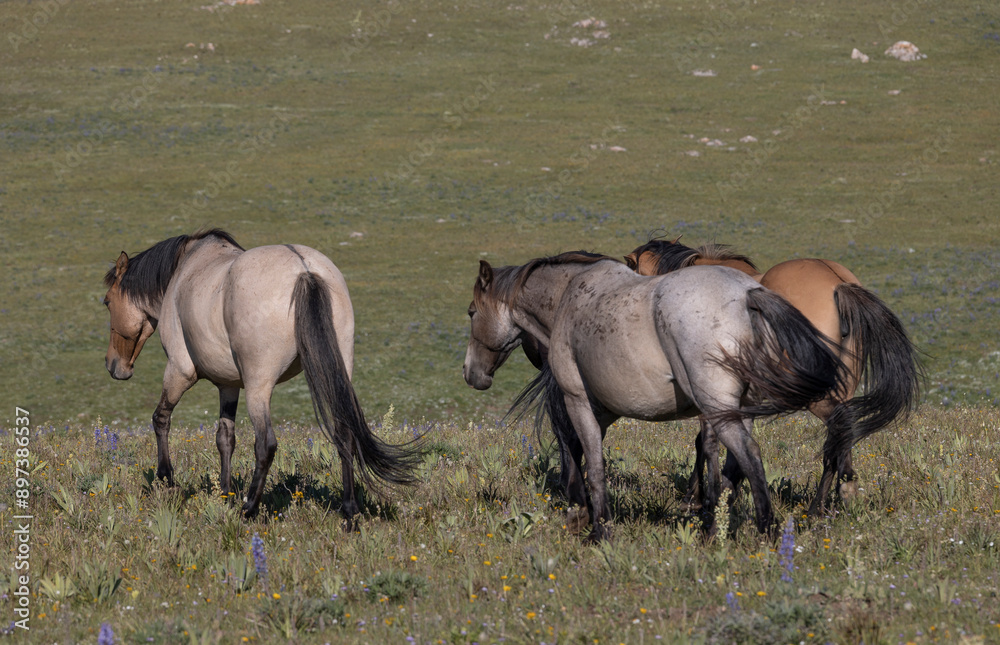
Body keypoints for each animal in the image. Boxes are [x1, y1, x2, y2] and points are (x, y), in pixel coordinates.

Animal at [104, 229, 422, 524]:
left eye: (106, 302)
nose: (112, 365)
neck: (186, 268)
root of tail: (304, 269)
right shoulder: (229, 386)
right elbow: (225, 438)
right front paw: (225, 493)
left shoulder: (179, 370)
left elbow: (161, 419)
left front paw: (166, 480)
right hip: (337, 373)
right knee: (344, 433)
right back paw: (350, 512)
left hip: (259, 387)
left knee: (265, 444)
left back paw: (249, 509)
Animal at [464, 252, 848, 540]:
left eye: (471, 312)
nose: (471, 373)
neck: (569, 297)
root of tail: (748, 293)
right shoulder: (603, 410)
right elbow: (580, 453)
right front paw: (581, 513)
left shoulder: (578, 400)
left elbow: (590, 462)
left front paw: (598, 530)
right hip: (740, 409)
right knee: (736, 463)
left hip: (719, 409)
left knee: (749, 456)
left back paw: (764, 531)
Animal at [624, 239, 920, 516]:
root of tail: (838, 283)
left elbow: (704, 442)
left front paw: (696, 499)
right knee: (841, 434)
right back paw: (838, 495)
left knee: (838, 429)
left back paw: (819, 506)